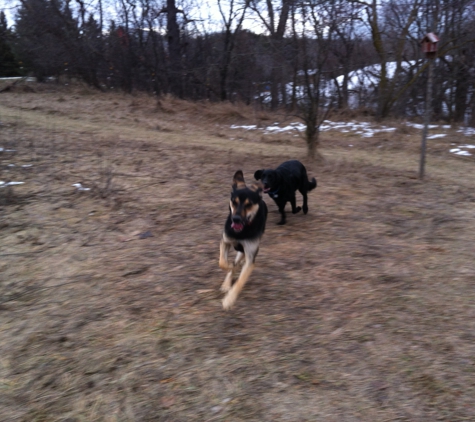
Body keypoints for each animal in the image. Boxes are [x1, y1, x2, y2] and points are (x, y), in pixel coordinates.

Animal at [219, 169, 268, 310]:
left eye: (249, 204)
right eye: (234, 202)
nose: (235, 219)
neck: (242, 231)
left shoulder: (250, 256)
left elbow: (240, 281)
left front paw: (229, 300)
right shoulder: (225, 241)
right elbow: (222, 262)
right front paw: (229, 267)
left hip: (244, 252)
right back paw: (227, 282)